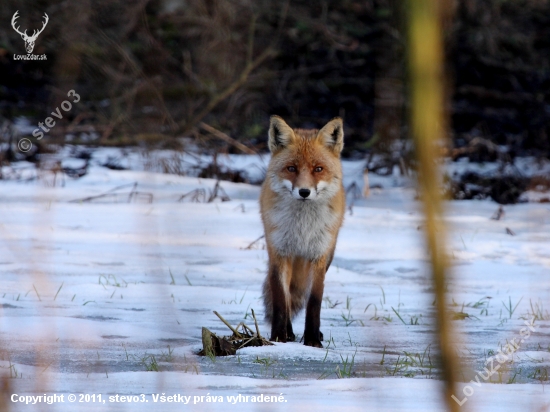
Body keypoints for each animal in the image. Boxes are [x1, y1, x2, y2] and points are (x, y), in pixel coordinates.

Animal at [262, 116, 348, 348]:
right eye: (291, 168)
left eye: (318, 169)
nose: (304, 192)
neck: (303, 228)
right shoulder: (280, 253)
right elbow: (281, 300)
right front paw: (278, 338)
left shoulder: (318, 256)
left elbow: (314, 301)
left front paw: (312, 340)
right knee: (288, 297)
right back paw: (289, 333)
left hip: (329, 254)